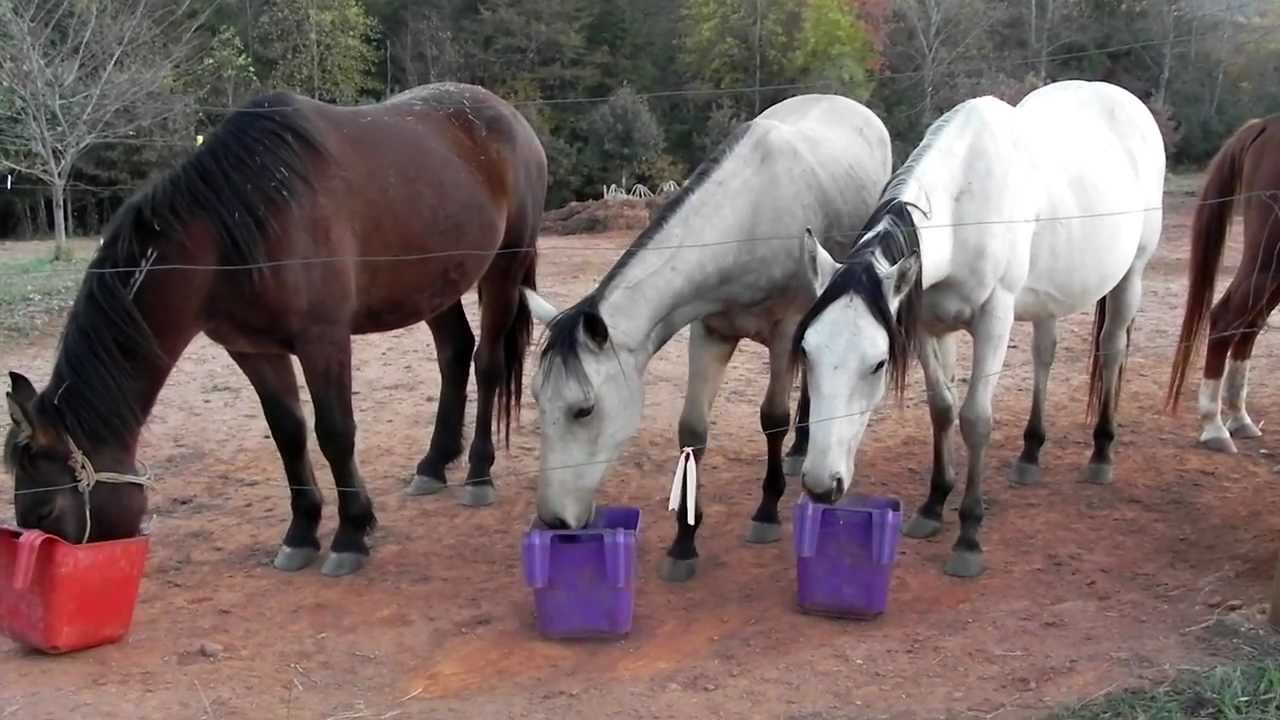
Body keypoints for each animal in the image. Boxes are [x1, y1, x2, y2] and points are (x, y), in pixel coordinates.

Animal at [4, 82, 547, 577]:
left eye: (47, 511)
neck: (232, 226)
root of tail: (509, 117)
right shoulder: (253, 350)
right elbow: (289, 433)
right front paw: (301, 533)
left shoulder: (324, 340)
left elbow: (335, 433)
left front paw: (351, 534)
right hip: (435, 284)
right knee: (454, 354)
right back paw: (433, 465)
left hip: (503, 269)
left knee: (487, 363)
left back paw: (478, 473)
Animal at [523, 94, 891, 582]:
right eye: (537, 400)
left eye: (584, 410)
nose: (553, 520)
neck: (749, 217)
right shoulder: (709, 331)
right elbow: (693, 431)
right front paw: (684, 541)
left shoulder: (786, 330)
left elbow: (773, 417)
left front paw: (766, 512)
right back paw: (800, 449)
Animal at [794, 80, 1165, 577]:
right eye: (808, 352)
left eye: (877, 364)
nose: (820, 485)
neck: (963, 207)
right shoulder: (928, 324)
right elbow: (942, 408)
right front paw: (933, 504)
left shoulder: (994, 320)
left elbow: (975, 419)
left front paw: (968, 535)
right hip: (1048, 300)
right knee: (1045, 354)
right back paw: (1030, 453)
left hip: (1132, 276)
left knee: (1111, 350)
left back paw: (1102, 453)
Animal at [1166, 115, 1280, 453]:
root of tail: (1265, 125)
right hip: (1267, 259)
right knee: (1227, 318)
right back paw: (1214, 426)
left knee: (1250, 324)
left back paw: (1239, 418)